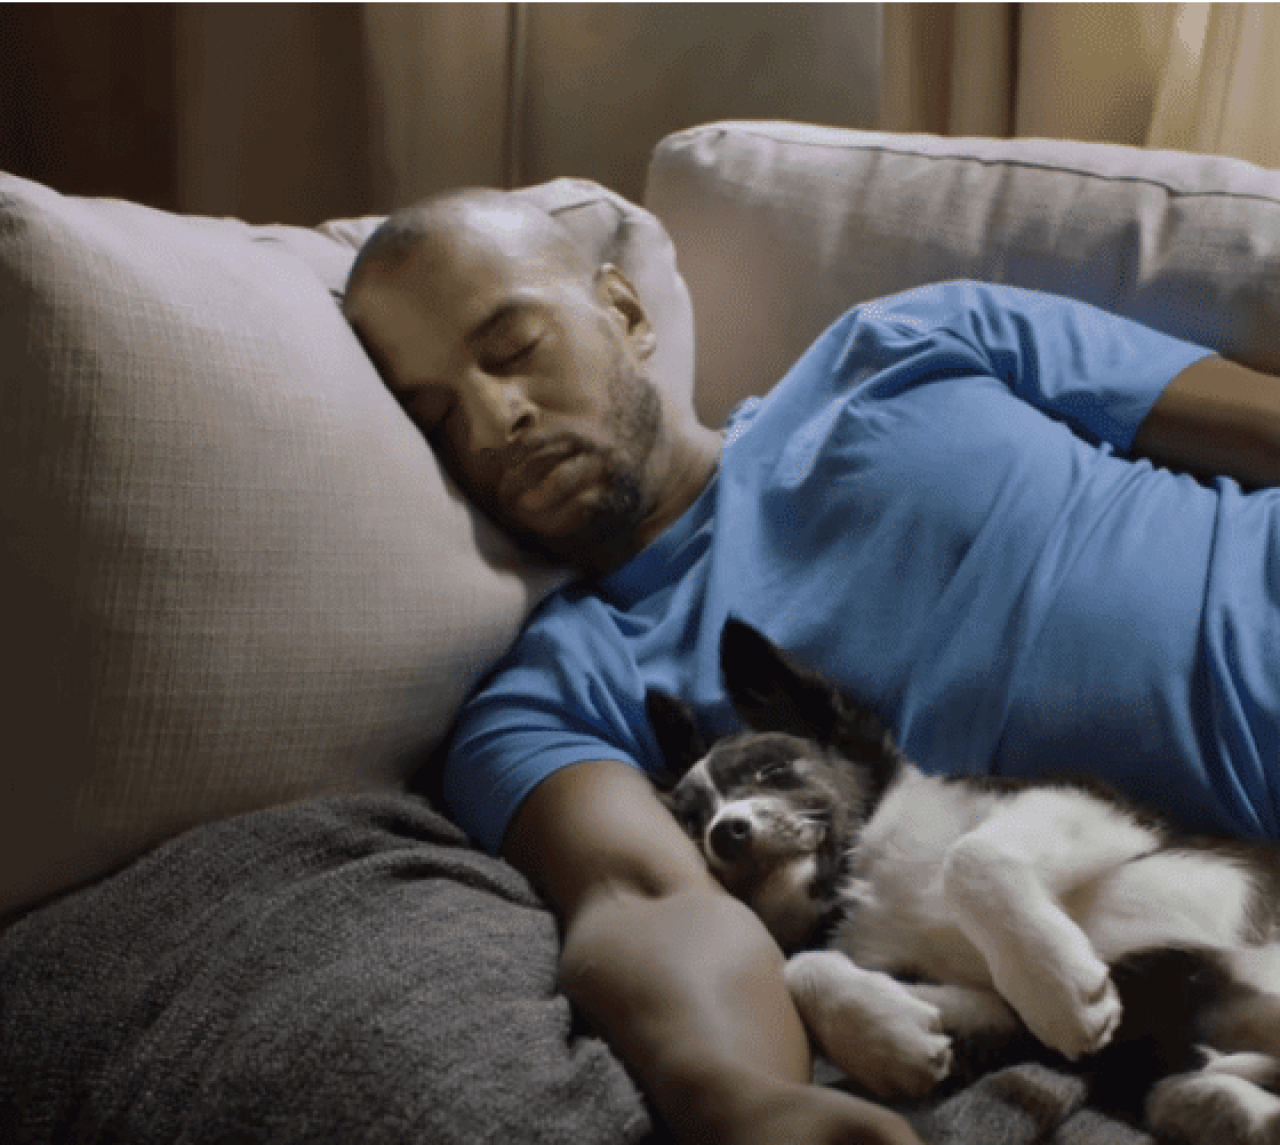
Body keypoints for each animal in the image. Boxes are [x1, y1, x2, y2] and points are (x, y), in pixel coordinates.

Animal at [650, 621, 1280, 1141]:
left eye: (771, 770)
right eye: (691, 821)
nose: (725, 834)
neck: (864, 870)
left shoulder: (1098, 802)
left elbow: (970, 853)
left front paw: (1060, 994)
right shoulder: (996, 1012)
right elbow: (799, 965)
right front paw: (886, 1042)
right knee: (1184, 1091)